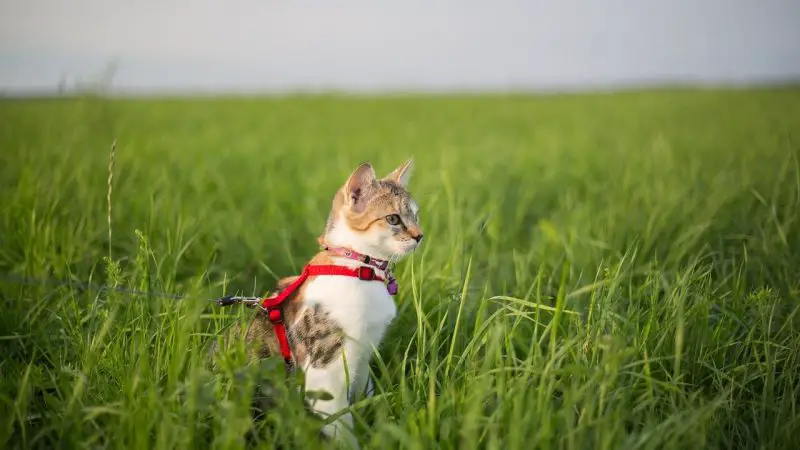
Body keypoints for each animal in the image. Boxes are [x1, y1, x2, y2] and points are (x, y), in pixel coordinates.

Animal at [212, 158, 424, 446]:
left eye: (416, 215)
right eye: (393, 219)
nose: (419, 235)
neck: (358, 267)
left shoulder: (363, 356)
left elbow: (363, 395)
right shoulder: (325, 370)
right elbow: (340, 424)